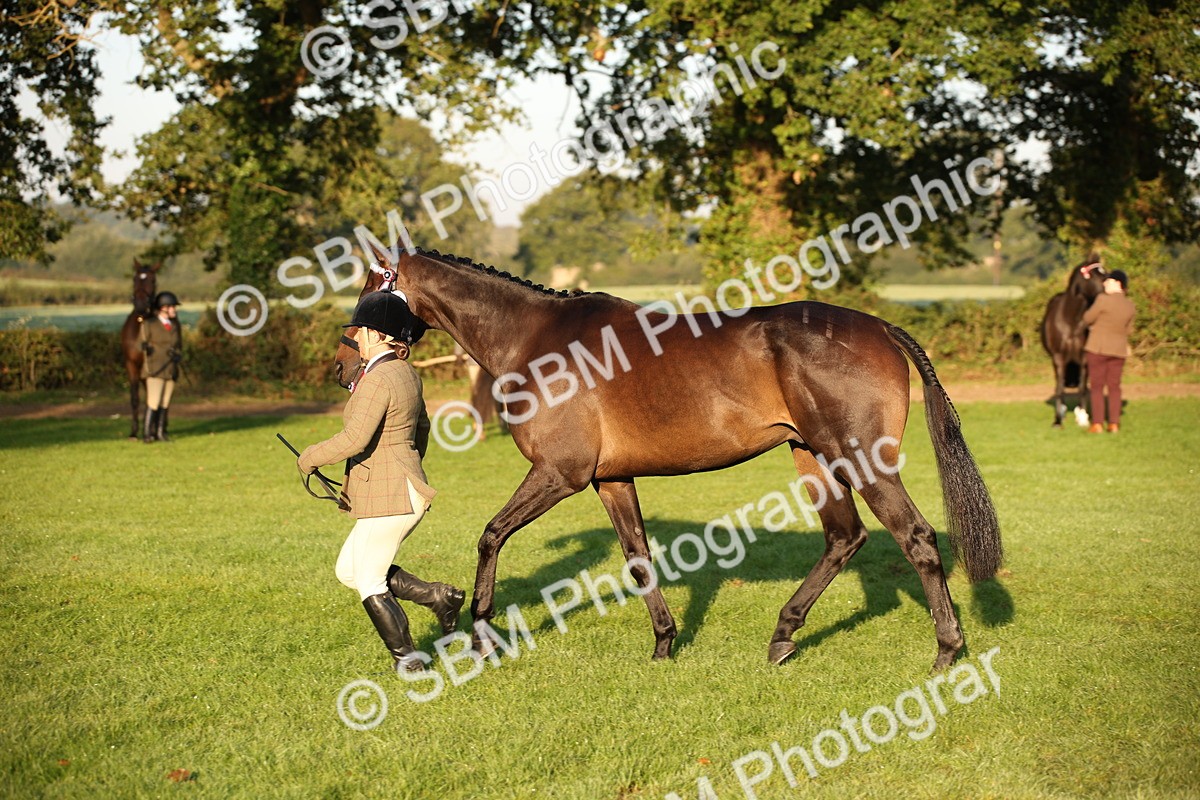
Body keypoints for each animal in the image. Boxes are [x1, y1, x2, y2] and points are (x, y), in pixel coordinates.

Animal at [334, 245, 1002, 672]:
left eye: (370, 289)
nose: (344, 365)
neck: (533, 339)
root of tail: (882, 329)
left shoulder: (560, 474)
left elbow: (491, 536)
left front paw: (481, 638)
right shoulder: (610, 479)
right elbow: (638, 558)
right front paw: (664, 643)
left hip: (857, 457)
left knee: (915, 537)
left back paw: (946, 651)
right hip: (811, 454)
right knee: (845, 538)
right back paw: (783, 637)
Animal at [1039, 260, 1107, 427]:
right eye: (1096, 275)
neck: (1071, 321)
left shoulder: (1084, 359)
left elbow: (1082, 389)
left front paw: (1083, 418)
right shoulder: (1058, 358)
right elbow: (1059, 389)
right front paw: (1057, 420)